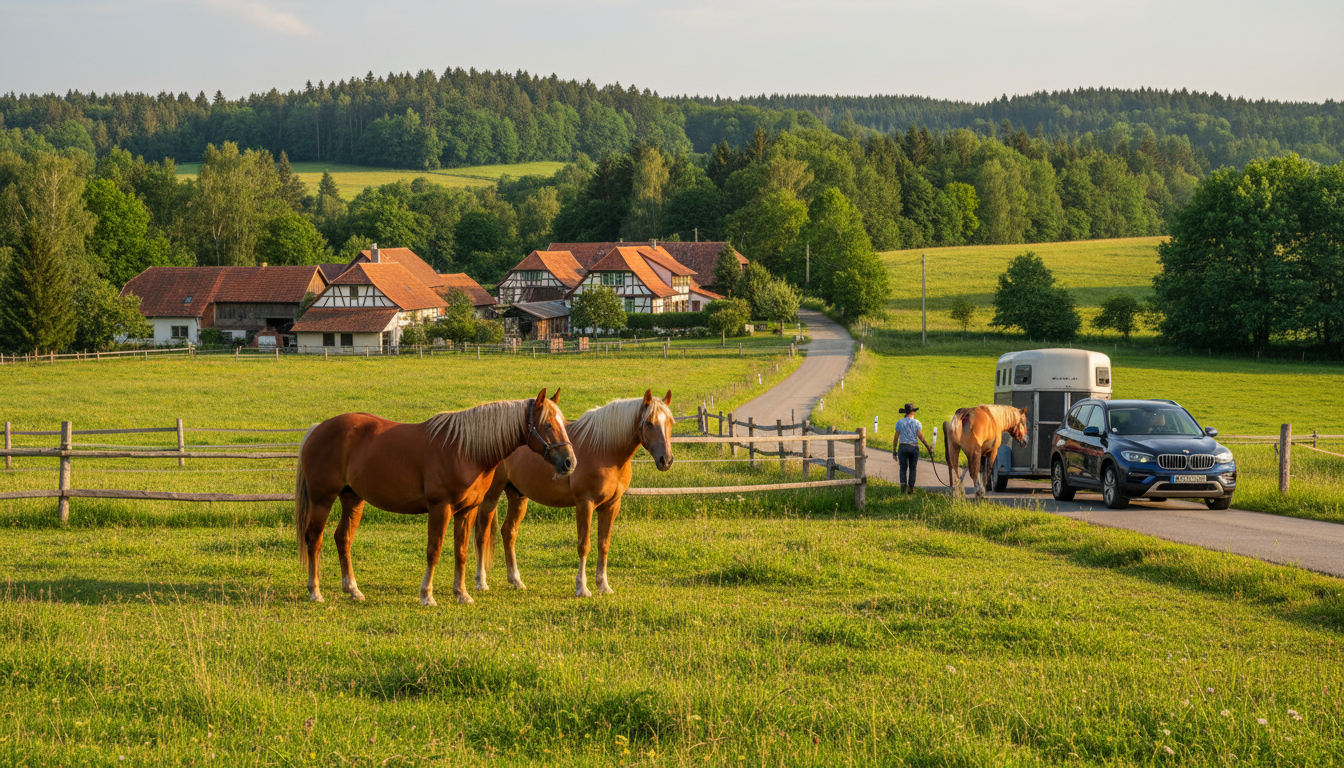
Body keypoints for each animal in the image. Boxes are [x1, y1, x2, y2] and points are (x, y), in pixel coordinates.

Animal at [294, 388, 576, 606]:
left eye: (562, 423)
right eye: (548, 424)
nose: (569, 462)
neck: (466, 450)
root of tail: (317, 429)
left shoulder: (467, 511)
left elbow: (461, 551)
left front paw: (462, 594)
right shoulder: (440, 508)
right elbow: (434, 550)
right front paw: (427, 596)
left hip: (353, 499)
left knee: (343, 538)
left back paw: (353, 590)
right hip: (322, 500)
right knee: (314, 539)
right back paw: (315, 591)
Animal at [472, 389, 675, 597]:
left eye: (671, 422)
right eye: (649, 423)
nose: (666, 460)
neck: (604, 450)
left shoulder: (611, 506)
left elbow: (604, 544)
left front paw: (603, 585)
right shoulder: (585, 504)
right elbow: (584, 545)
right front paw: (582, 588)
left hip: (518, 496)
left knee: (509, 532)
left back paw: (516, 581)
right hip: (490, 496)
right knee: (481, 534)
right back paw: (481, 582)